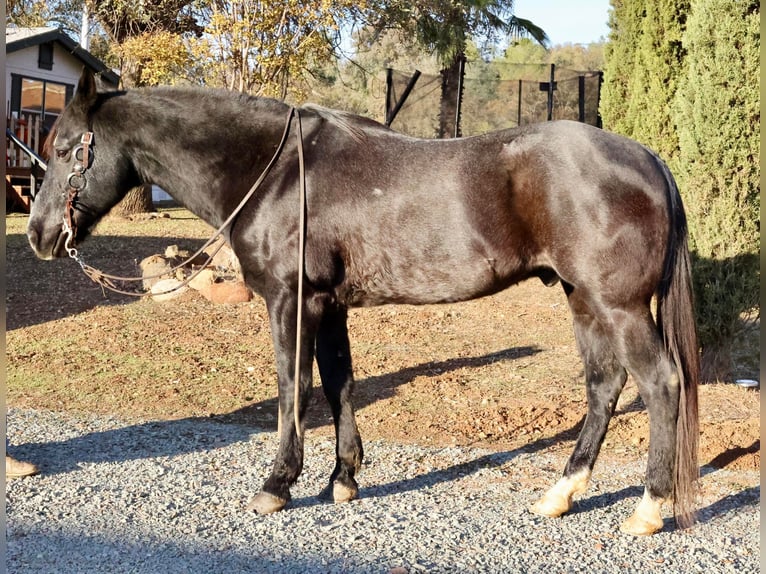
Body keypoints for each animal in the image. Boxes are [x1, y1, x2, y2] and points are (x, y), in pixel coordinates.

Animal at [27, 68, 699, 536]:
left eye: (64, 148)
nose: (38, 236)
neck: (278, 173)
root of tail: (649, 160)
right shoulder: (330, 306)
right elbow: (338, 383)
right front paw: (343, 478)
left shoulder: (291, 302)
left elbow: (293, 389)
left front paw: (278, 483)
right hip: (583, 299)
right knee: (605, 386)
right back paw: (560, 495)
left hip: (619, 306)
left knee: (661, 383)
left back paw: (648, 508)